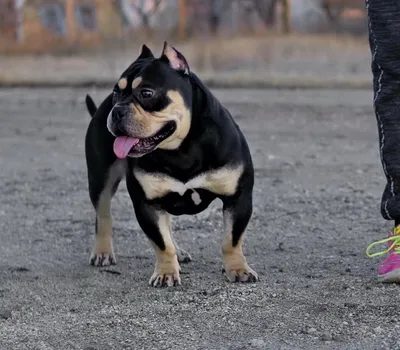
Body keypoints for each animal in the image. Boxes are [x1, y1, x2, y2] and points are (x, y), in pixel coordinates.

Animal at [85, 41, 260, 288]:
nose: (116, 110)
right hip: (101, 179)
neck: (180, 149)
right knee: (103, 215)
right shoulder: (147, 204)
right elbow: (161, 243)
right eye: (116, 92)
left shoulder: (238, 199)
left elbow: (231, 240)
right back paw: (102, 252)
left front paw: (238, 269)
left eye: (146, 93)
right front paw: (166, 272)